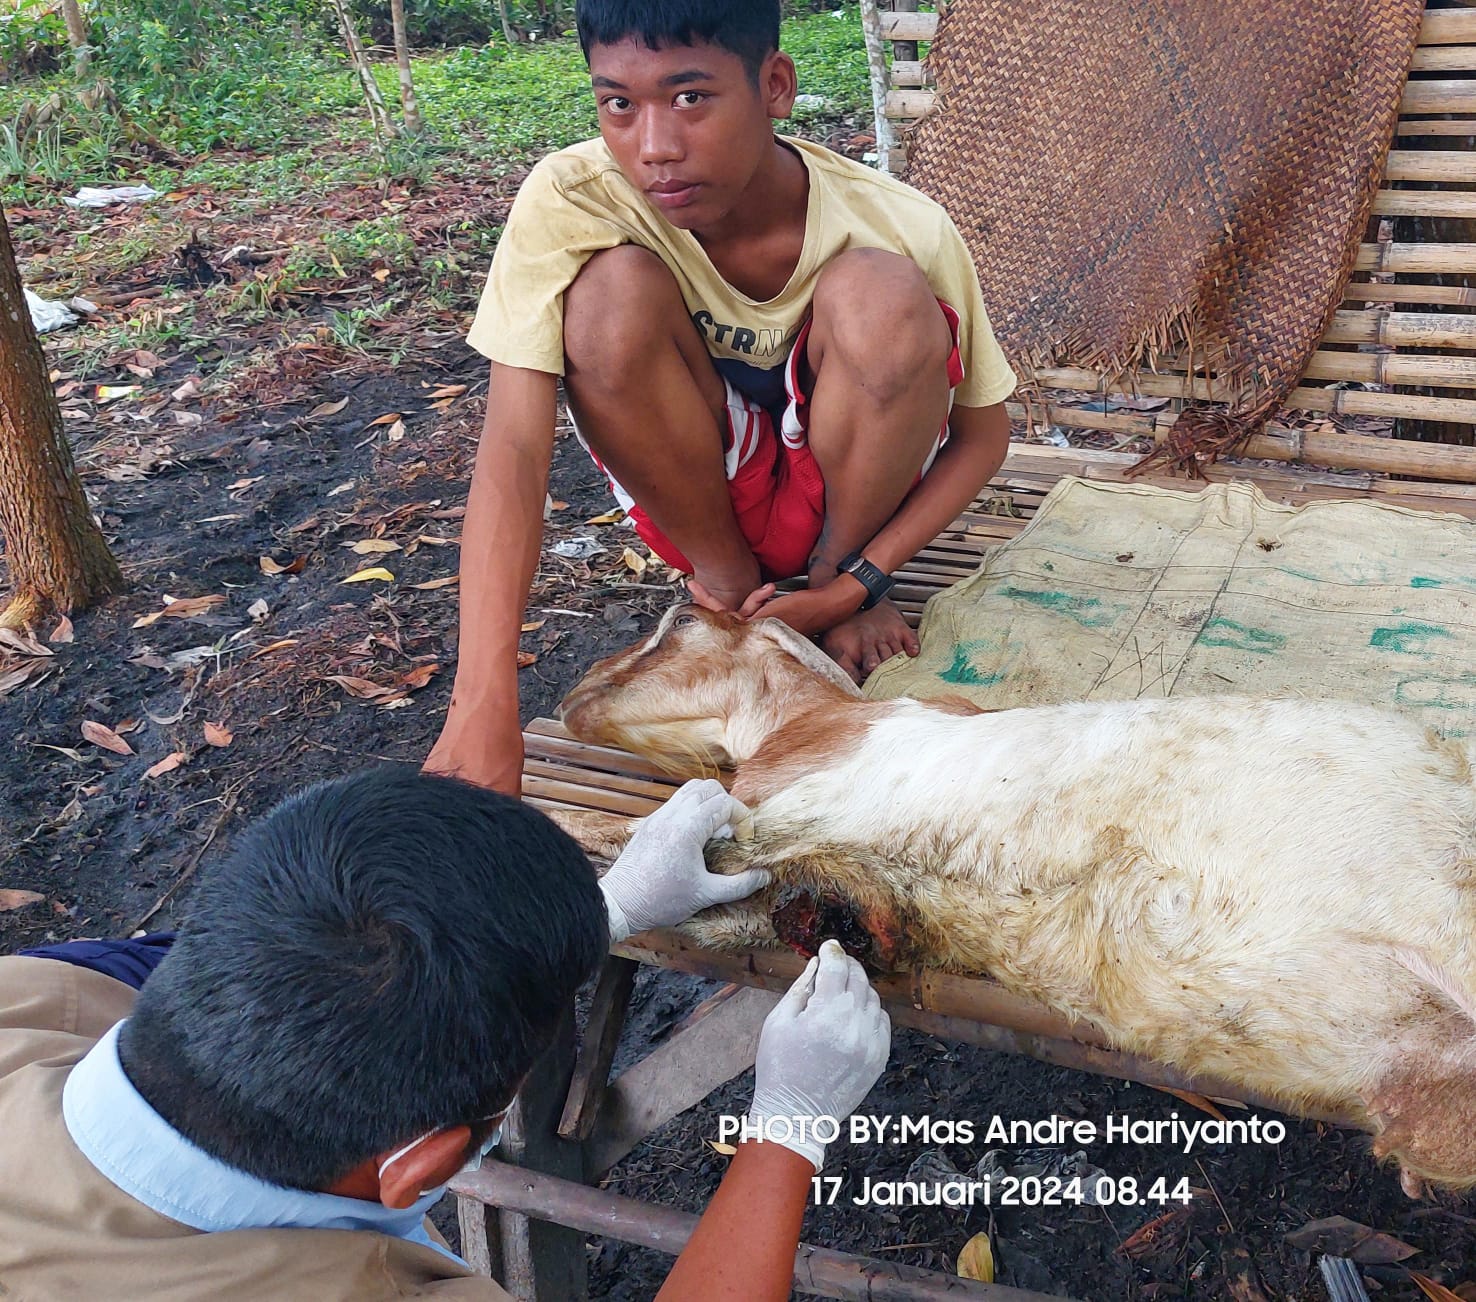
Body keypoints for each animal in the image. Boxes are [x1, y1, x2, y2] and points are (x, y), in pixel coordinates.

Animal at [554, 599, 1476, 1186]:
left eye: (680, 623)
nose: (575, 695)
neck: (799, 726)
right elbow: (746, 905)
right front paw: (836, 916)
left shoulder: (775, 811)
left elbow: (626, 841)